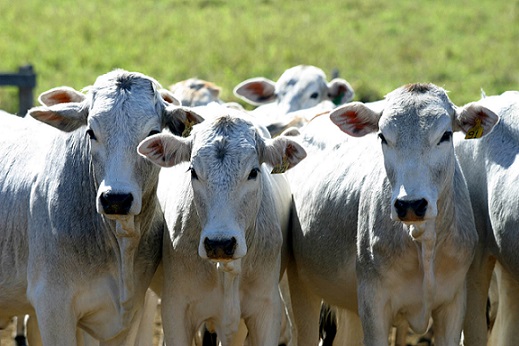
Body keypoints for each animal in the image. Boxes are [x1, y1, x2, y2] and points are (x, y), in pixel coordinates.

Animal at [284, 84, 500, 346]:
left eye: (445, 135)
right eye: (382, 136)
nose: (411, 204)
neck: (423, 242)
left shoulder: (453, 305)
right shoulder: (374, 307)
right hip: (301, 293)